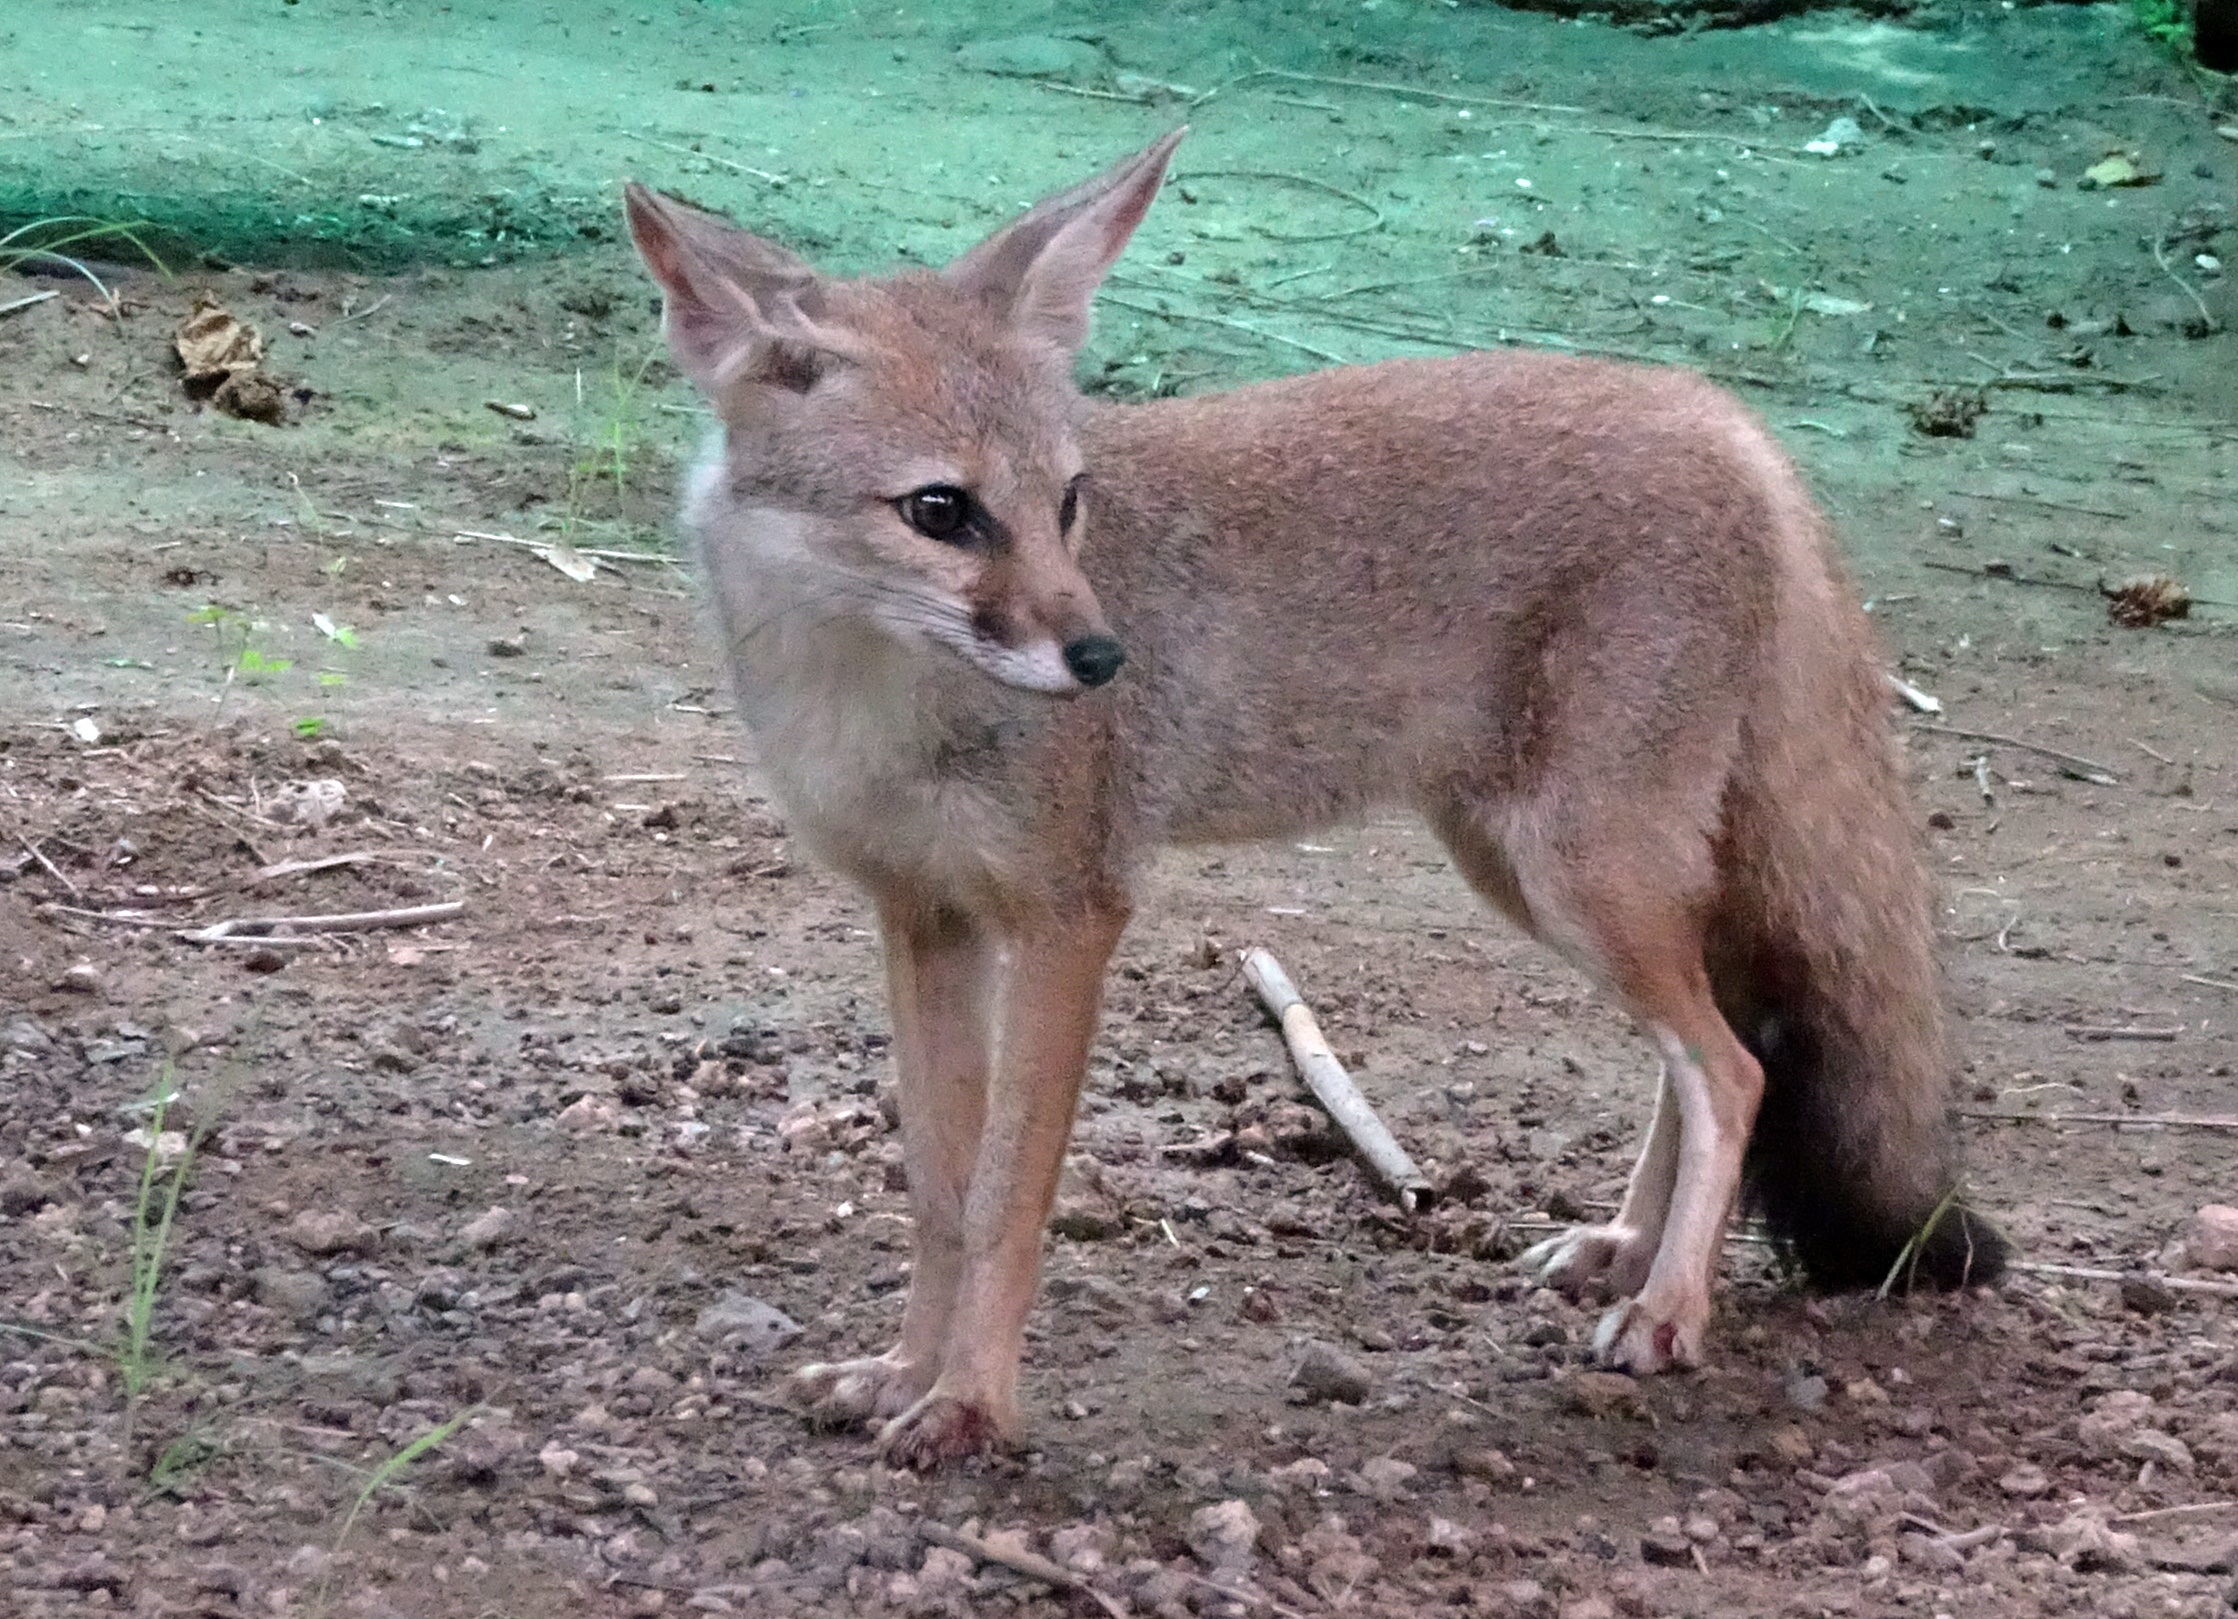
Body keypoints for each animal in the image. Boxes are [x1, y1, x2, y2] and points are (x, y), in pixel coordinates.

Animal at [622, 126, 2005, 1468]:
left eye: (1069, 503)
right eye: (941, 511)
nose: (1103, 658)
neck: (869, 692)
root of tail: (1718, 411)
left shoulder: (1074, 917)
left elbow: (1008, 1198)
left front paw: (970, 1404)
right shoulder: (925, 920)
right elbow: (939, 1192)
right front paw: (903, 1370)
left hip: (1580, 882)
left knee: (1736, 1068)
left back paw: (1670, 1306)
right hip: (1539, 876)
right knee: (1712, 1045)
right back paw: (1627, 1250)